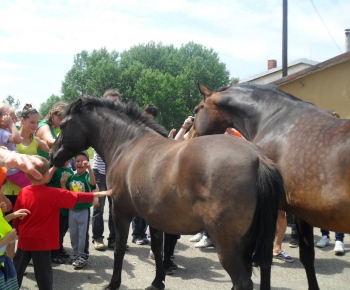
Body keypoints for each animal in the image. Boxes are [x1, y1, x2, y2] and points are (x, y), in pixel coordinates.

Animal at [50, 97, 284, 290]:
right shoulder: (154, 217)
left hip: (226, 242)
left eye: (62, 125)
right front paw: (157, 282)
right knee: (263, 270)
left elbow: (119, 249)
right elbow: (157, 247)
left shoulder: (120, 211)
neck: (128, 144)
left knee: (242, 281)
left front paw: (113, 284)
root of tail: (258, 158)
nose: (52, 155)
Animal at [193, 82, 350, 290]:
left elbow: (264, 260)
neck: (274, 121)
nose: (191, 139)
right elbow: (307, 256)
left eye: (196, 110)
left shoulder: (270, 209)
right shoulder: (302, 212)